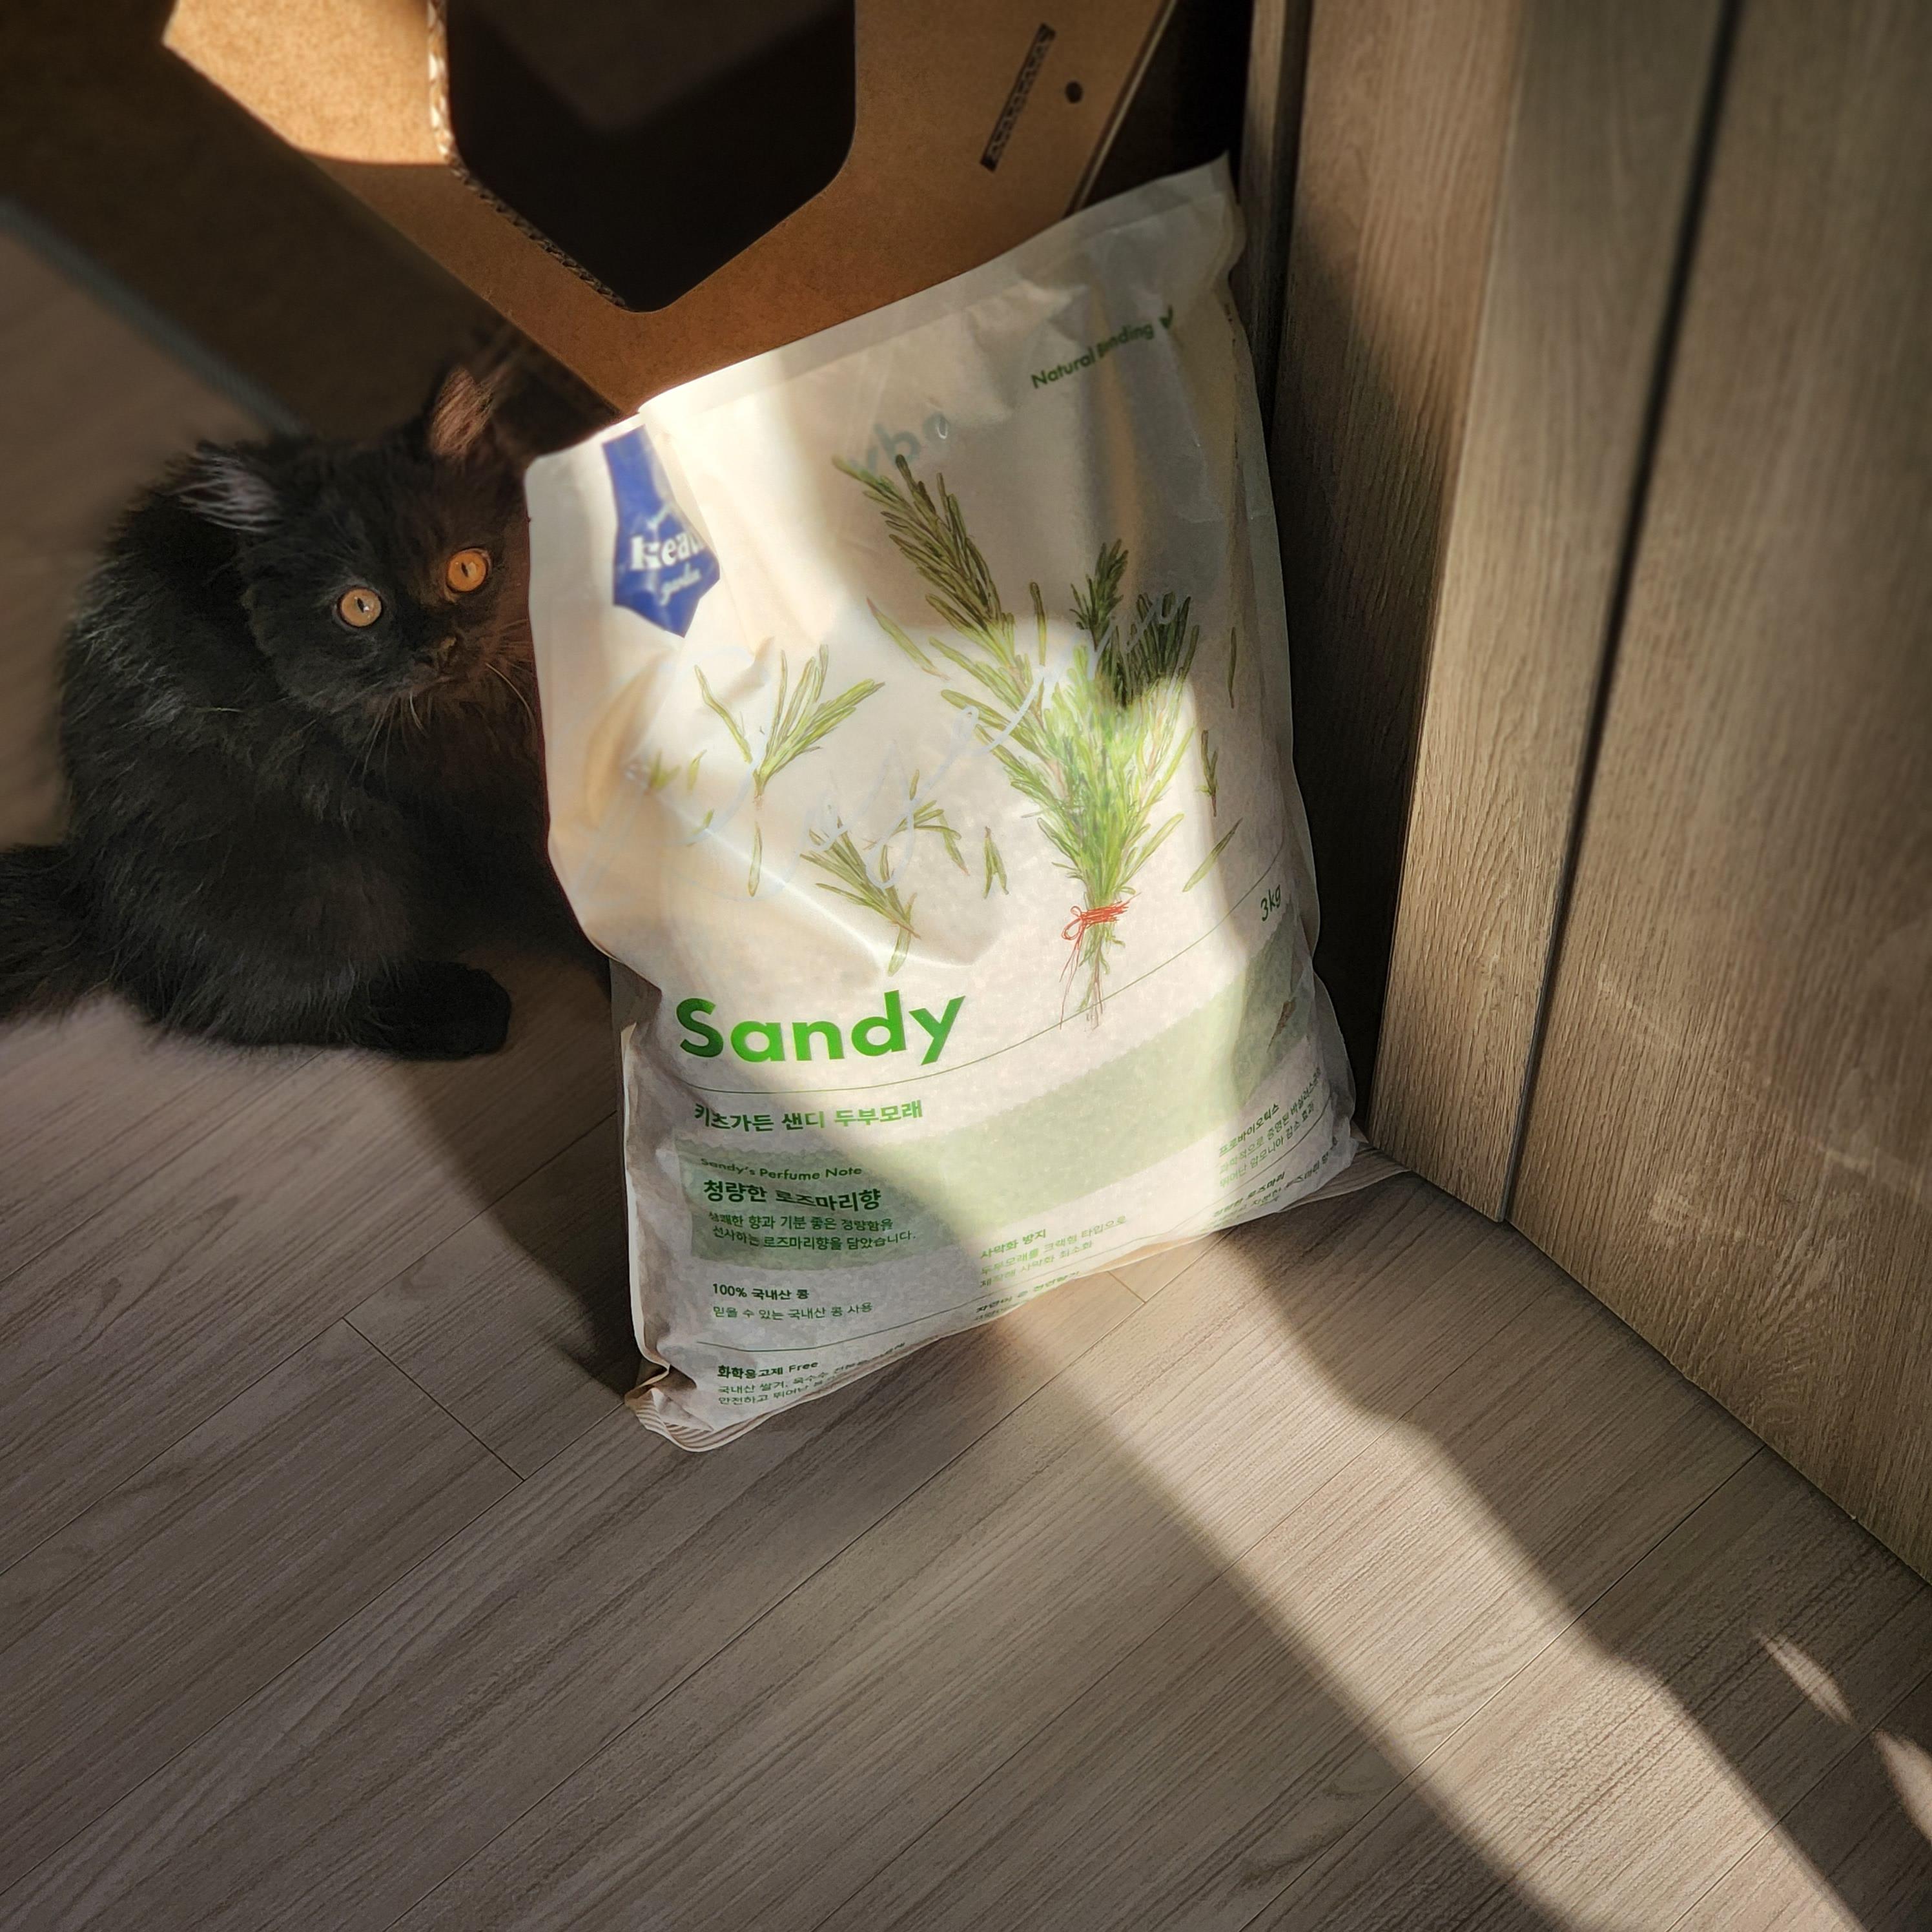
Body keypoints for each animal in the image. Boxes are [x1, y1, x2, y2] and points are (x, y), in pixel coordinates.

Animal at [0, 364, 592, 1058]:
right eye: (360, 607)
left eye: (466, 569)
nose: (439, 646)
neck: (481, 705)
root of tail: (92, 900)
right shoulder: (471, 811)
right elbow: (550, 884)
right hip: (335, 882)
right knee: (269, 1007)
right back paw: (463, 1011)